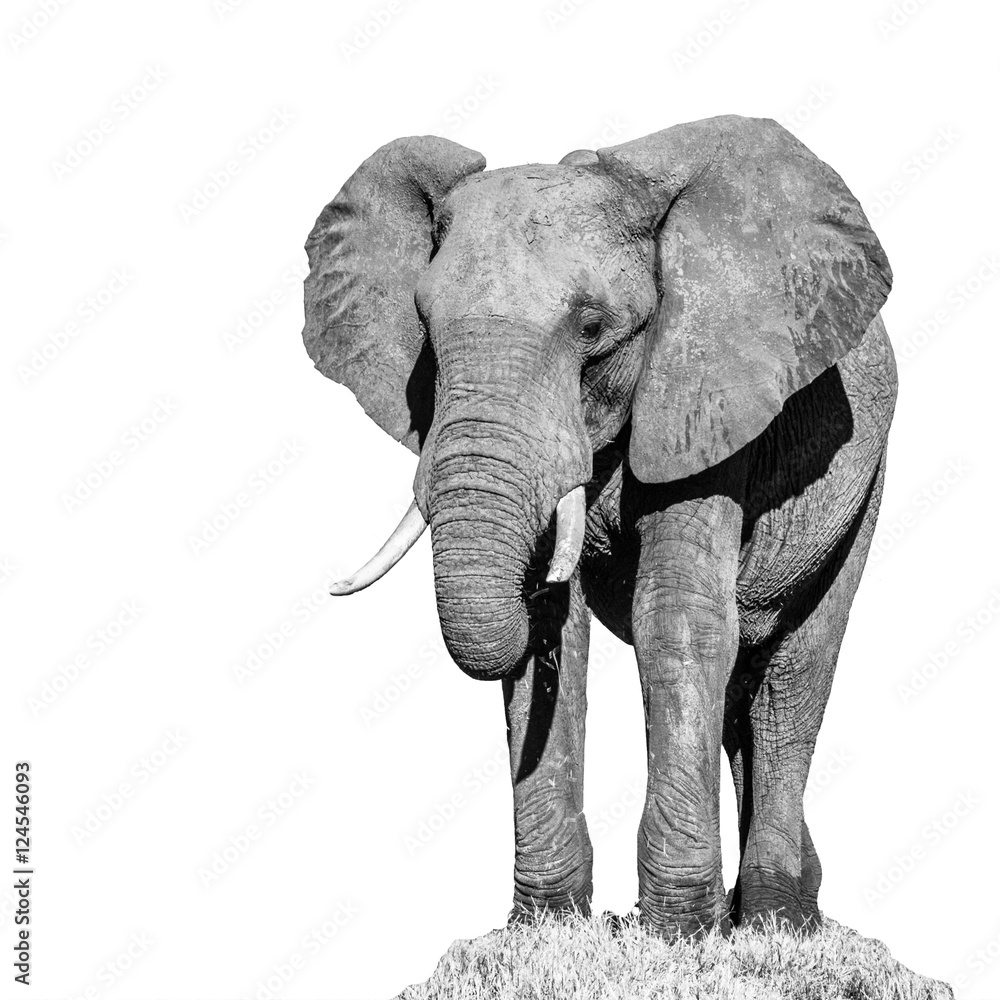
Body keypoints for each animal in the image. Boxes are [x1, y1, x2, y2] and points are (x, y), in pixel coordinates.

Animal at [301, 115, 895, 937]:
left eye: (591, 327)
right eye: (424, 325)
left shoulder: (706, 393)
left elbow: (678, 621)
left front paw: (678, 936)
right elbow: (555, 631)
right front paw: (547, 930)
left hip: (865, 473)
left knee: (794, 677)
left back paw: (778, 923)